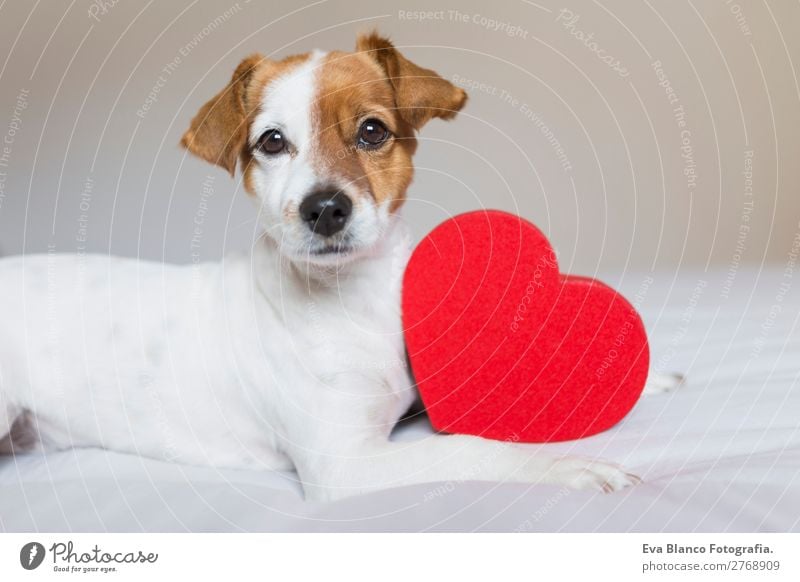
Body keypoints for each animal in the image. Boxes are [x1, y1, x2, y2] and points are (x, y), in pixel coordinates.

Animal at [0, 34, 680, 504]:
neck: (356, 298)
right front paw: (566, 466)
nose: (324, 208)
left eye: (373, 130)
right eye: (271, 142)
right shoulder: (347, 463)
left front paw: (636, 375)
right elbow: (471, 446)